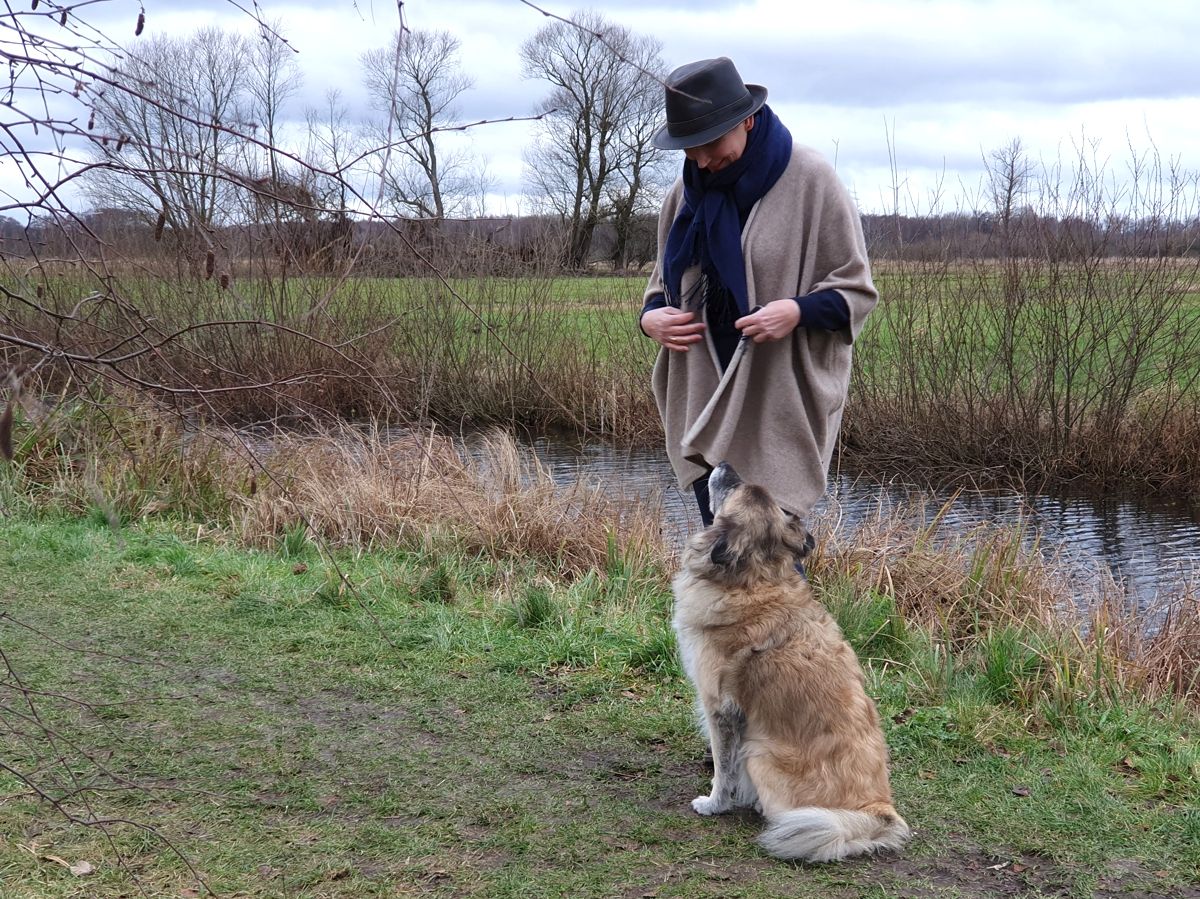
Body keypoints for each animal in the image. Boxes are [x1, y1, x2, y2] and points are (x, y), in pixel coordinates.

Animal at [676, 463, 907, 864]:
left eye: (733, 488)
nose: (723, 464)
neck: (754, 581)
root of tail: (877, 811)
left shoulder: (720, 709)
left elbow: (723, 769)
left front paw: (714, 803)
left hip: (758, 752)